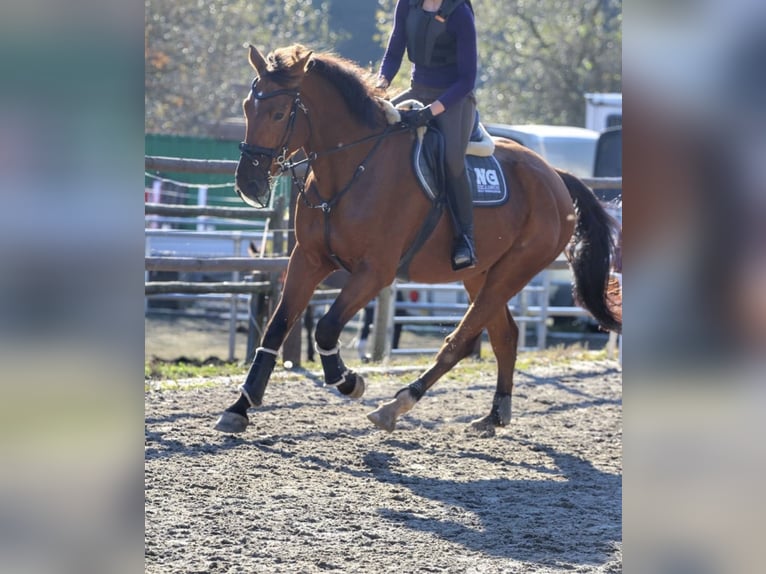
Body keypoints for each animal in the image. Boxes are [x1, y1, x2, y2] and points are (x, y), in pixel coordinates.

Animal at [214, 43, 621, 435]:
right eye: (247, 108)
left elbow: (327, 328)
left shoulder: (374, 272)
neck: (352, 167)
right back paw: (494, 414)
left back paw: (397, 405)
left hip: (515, 270)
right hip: (481, 275)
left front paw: (348, 380)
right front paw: (240, 407)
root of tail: (553, 174)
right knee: (504, 336)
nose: (248, 183)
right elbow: (277, 327)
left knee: (461, 341)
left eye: (279, 114)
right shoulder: (308, 259)